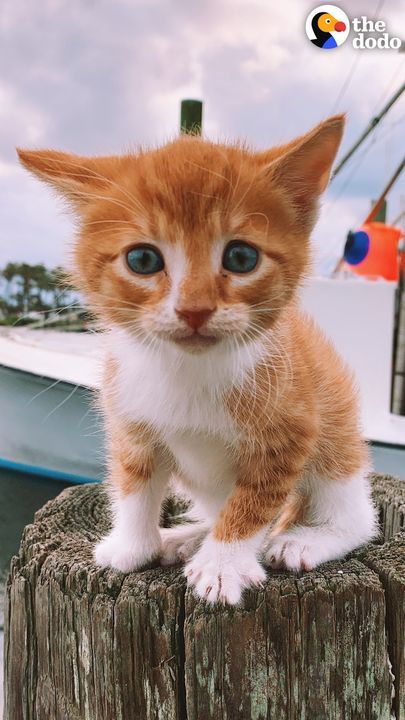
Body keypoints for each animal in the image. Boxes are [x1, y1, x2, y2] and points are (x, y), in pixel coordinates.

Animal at [17, 116, 378, 600]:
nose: (194, 310)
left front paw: (223, 564)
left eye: (241, 257)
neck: (189, 367)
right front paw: (132, 545)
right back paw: (188, 537)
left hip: (336, 434)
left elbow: (254, 502)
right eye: (142, 258)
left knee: (356, 517)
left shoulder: (292, 429)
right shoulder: (130, 415)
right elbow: (134, 480)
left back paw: (305, 540)